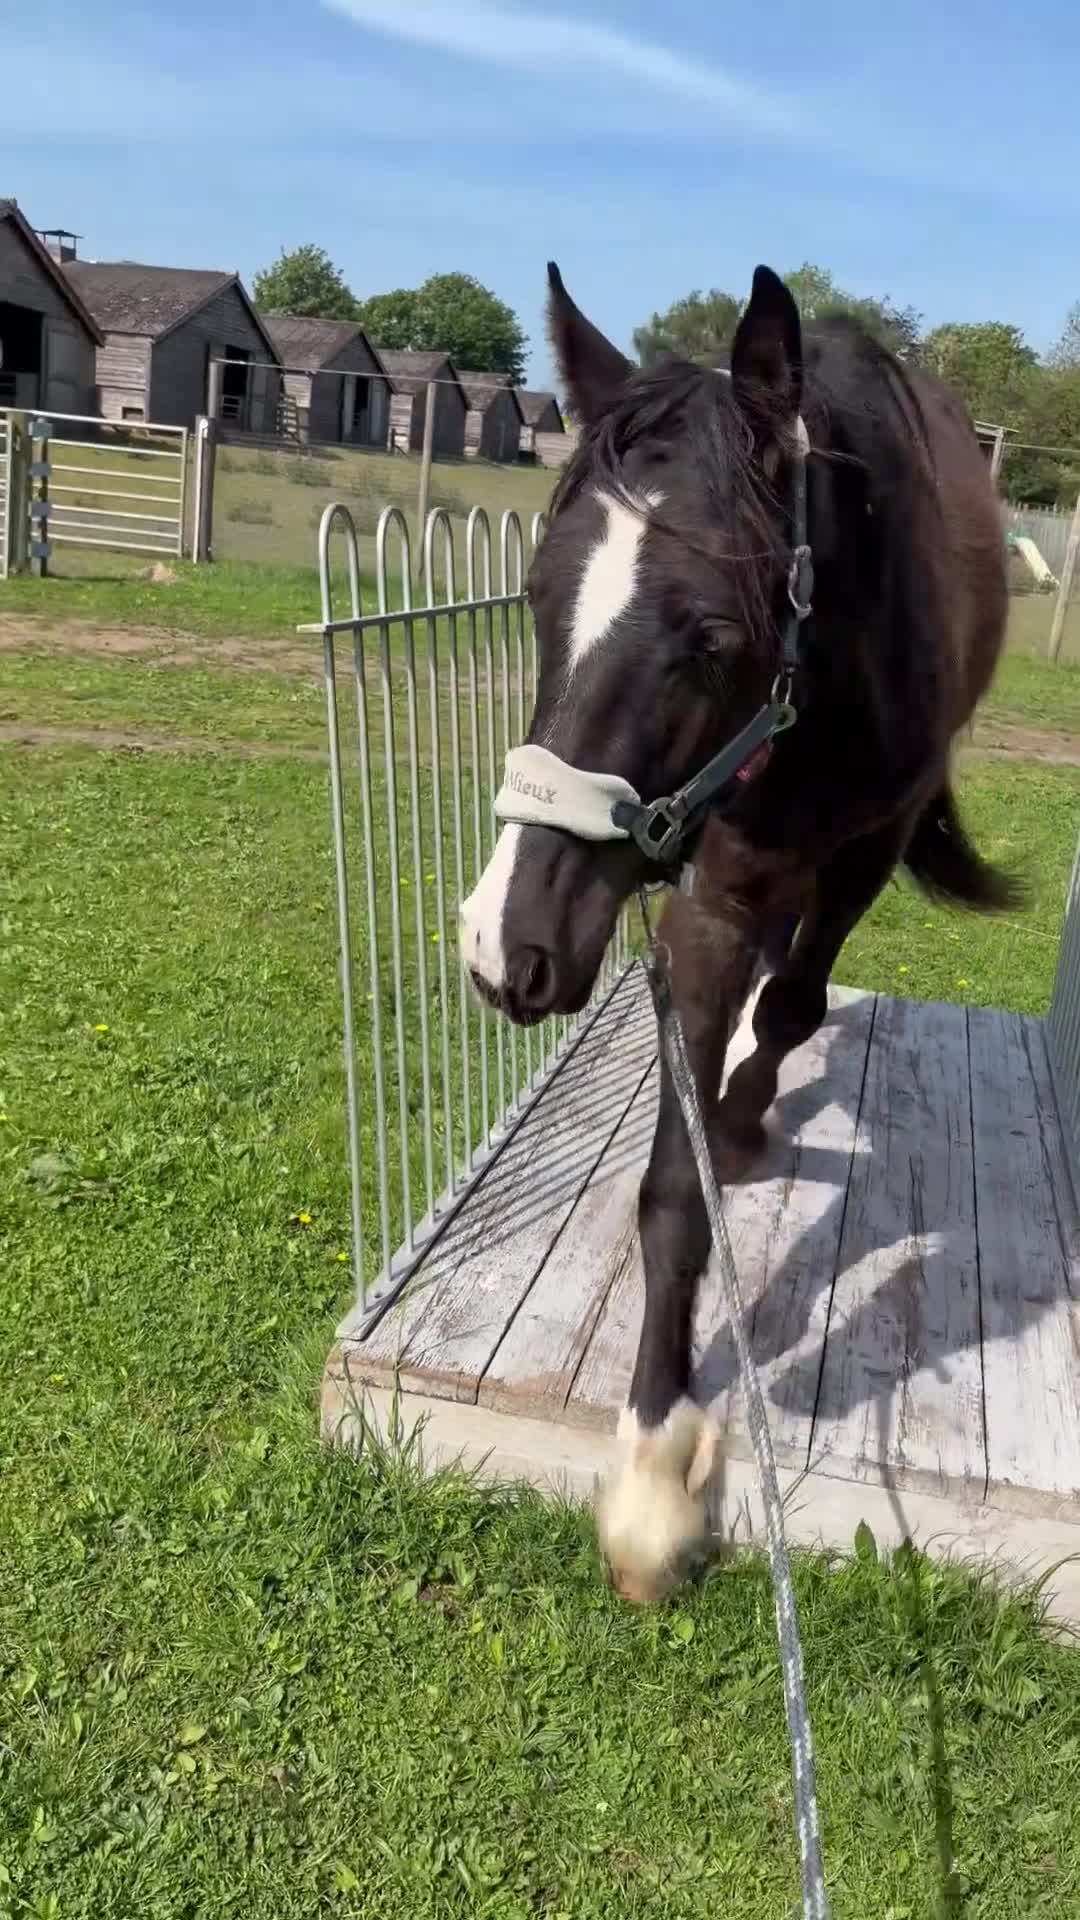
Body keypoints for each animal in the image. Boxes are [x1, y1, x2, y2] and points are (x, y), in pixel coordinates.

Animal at [460, 261, 1015, 1603]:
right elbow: (673, 1194)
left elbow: (798, 1005)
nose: (509, 944)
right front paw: (654, 1462)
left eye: (710, 638)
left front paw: (746, 1112)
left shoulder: (866, 843)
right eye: (539, 598)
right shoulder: (710, 900)